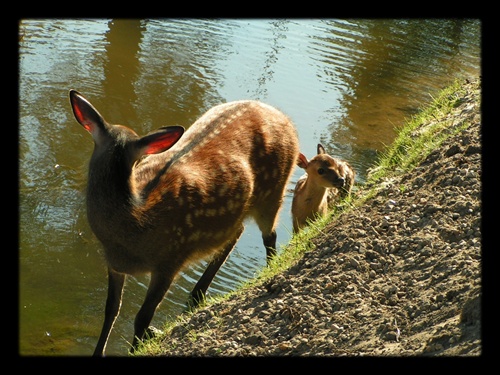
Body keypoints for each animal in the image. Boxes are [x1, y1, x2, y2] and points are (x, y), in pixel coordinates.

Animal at [68, 90, 298, 356]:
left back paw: (270, 271)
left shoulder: (171, 259)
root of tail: (284, 118)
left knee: (269, 235)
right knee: (236, 231)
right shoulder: (114, 264)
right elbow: (110, 310)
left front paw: (137, 348)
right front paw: (99, 351)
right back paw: (197, 294)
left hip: (275, 189)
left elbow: (142, 317)